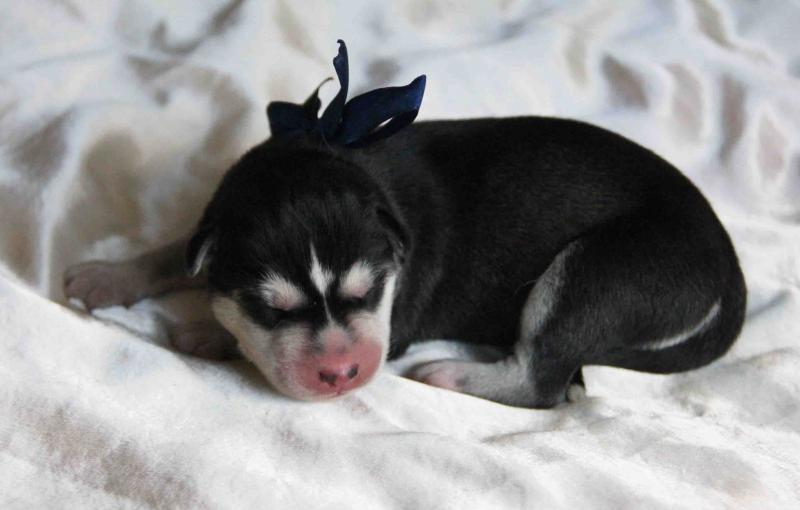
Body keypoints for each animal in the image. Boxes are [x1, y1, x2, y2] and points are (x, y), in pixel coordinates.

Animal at [63, 42, 746, 408]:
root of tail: (727, 265)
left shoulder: (397, 317)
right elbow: (175, 249)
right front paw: (107, 276)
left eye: (369, 292)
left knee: (542, 378)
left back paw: (450, 373)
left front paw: (207, 332)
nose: (341, 373)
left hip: (595, 277)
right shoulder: (216, 222)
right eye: (273, 310)